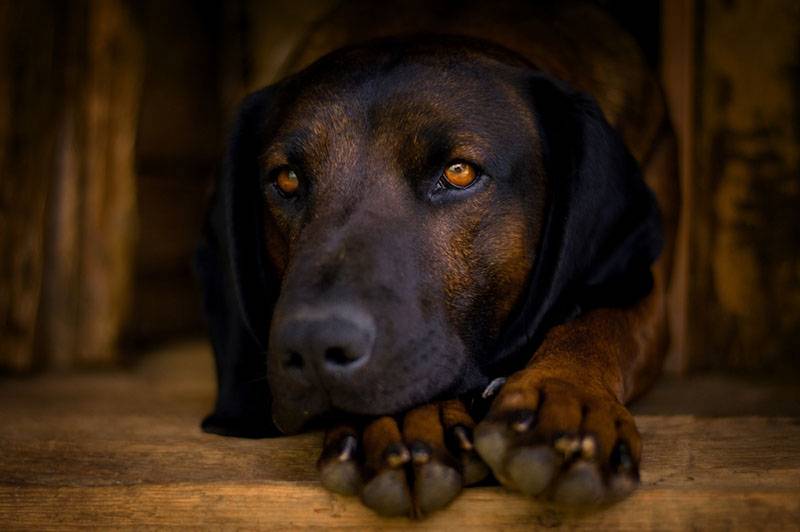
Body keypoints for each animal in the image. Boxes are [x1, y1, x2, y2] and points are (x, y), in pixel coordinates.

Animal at [197, 0, 680, 516]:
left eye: (459, 172)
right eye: (286, 179)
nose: (311, 345)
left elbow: (600, 320)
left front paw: (568, 399)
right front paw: (407, 422)